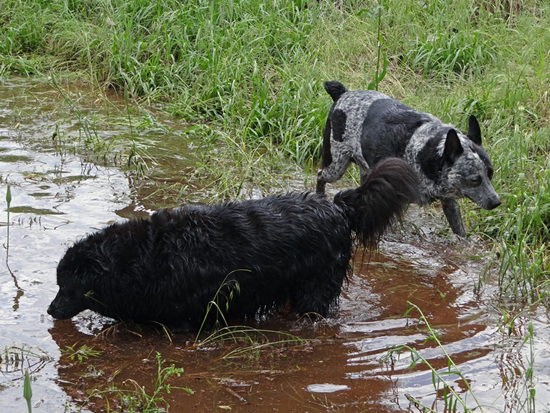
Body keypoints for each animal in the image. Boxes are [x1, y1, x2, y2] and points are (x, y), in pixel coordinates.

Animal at [316, 80, 502, 237]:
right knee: (320, 175)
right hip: (336, 166)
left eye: (491, 174)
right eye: (475, 179)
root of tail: (343, 93)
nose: (497, 202)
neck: (428, 153)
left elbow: (460, 232)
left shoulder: (449, 203)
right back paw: (319, 197)